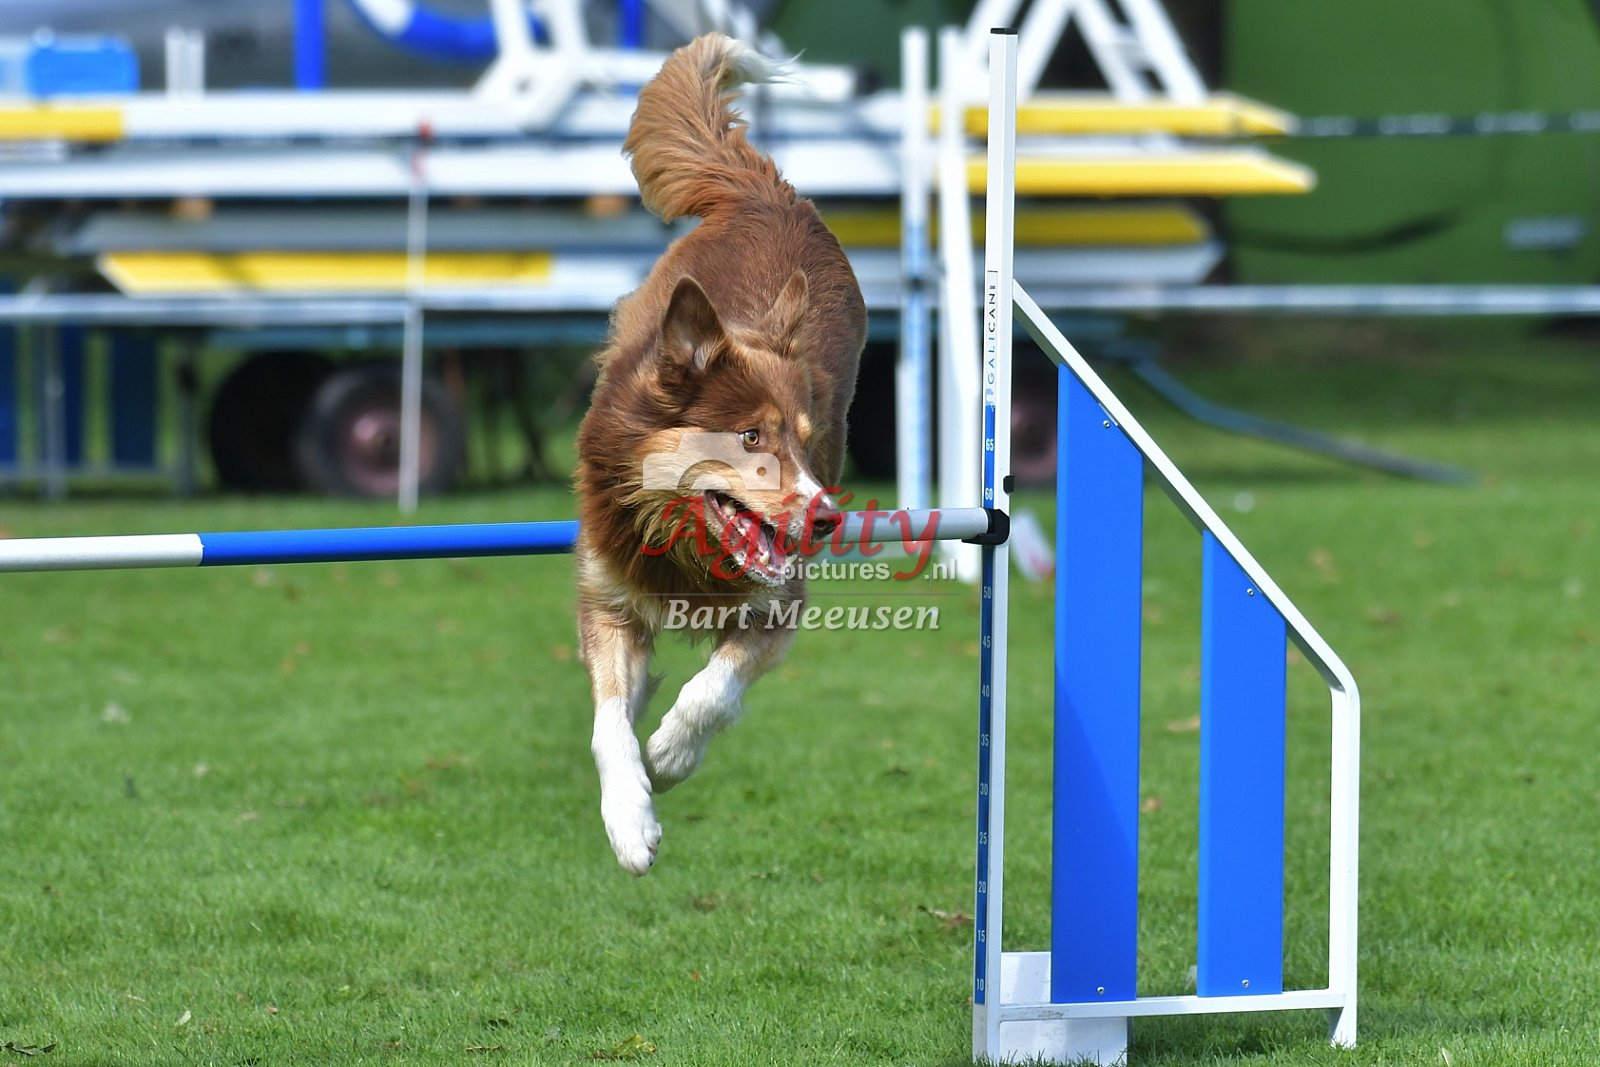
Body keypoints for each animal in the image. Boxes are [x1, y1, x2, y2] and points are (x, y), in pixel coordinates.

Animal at [573, 33, 866, 875]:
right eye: (750, 436)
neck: (681, 543)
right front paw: (630, 819)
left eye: (804, 436)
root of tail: (767, 192)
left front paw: (671, 754)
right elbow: (609, 720)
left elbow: (713, 689)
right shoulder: (607, 592)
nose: (827, 520)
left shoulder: (780, 601)